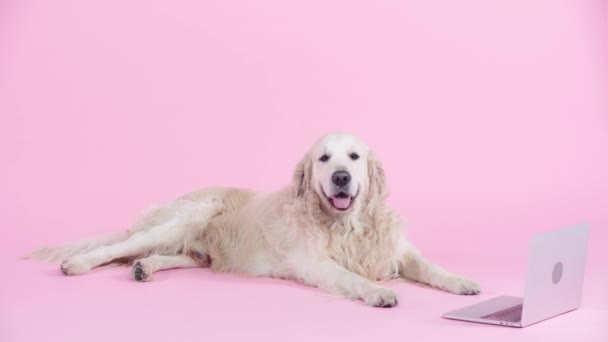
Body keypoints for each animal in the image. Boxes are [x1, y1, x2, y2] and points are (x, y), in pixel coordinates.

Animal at [28, 132, 480, 306]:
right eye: (323, 158)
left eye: (353, 156)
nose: (341, 178)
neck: (347, 226)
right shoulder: (315, 263)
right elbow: (351, 277)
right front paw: (377, 292)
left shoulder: (397, 249)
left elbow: (431, 267)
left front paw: (462, 282)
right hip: (187, 215)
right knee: (116, 246)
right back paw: (78, 263)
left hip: (196, 246)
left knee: (175, 255)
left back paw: (145, 268)